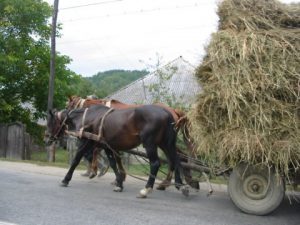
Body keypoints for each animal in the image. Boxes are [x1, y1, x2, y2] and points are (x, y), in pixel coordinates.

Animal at [46, 103, 188, 197]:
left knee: (155, 163)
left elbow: (76, 159)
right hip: (166, 144)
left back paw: (147, 189)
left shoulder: (87, 142)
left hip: (150, 144)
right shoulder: (107, 146)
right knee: (176, 160)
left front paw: (66, 179)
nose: (47, 139)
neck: (87, 118)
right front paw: (119, 183)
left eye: (51, 123)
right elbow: (113, 164)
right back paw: (181, 185)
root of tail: (168, 113)